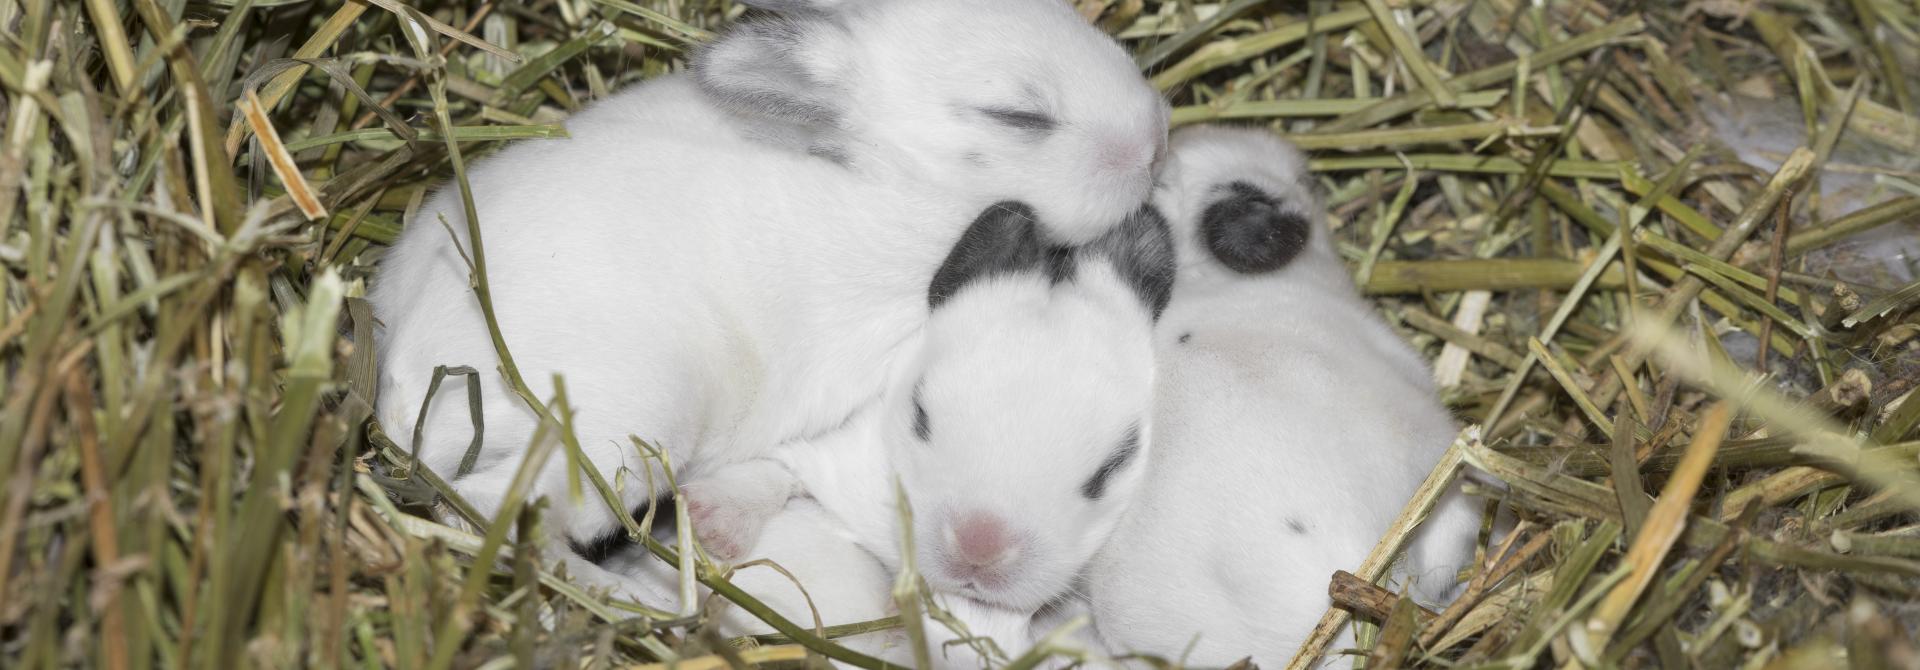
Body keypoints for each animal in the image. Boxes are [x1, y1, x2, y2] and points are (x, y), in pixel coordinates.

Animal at [370, 0, 1170, 583]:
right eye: (1018, 116)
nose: (1158, 136)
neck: (902, 188)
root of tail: (408, 384)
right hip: (624, 428)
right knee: (494, 512)